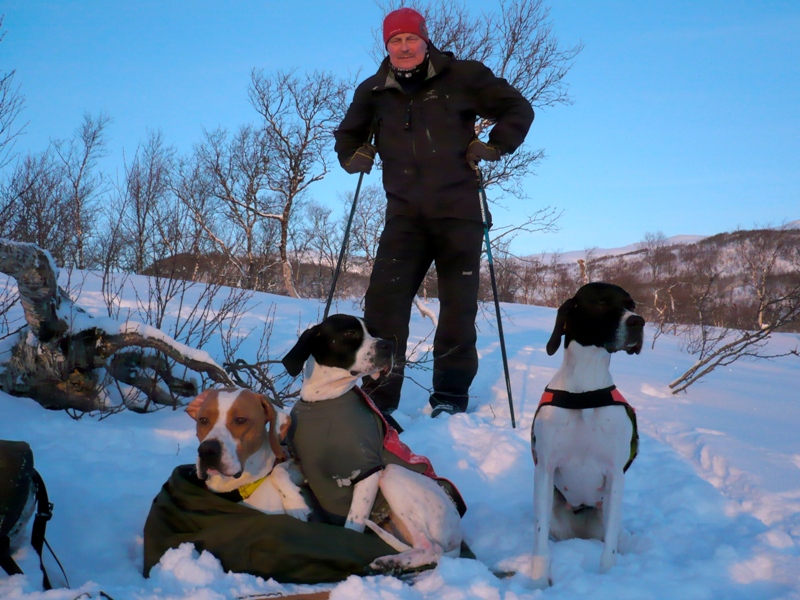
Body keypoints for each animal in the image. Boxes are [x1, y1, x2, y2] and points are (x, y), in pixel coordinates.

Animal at [186, 386, 310, 516]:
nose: (206, 450)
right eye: (203, 420)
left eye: (240, 420)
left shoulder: (297, 466)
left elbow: (278, 470)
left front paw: (295, 503)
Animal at [282, 314, 466, 572]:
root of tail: (457, 543)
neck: (323, 399)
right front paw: (295, 504)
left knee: (430, 549)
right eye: (350, 333)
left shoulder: (367, 471)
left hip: (393, 474)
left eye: (375, 332)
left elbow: (352, 526)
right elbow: (278, 472)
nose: (387, 345)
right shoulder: (305, 466)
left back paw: (391, 561)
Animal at [532, 284, 644, 588]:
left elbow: (609, 553)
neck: (585, 390)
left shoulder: (615, 474)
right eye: (602, 302)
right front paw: (537, 581)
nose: (639, 322)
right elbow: (540, 538)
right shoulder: (545, 469)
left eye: (631, 305)